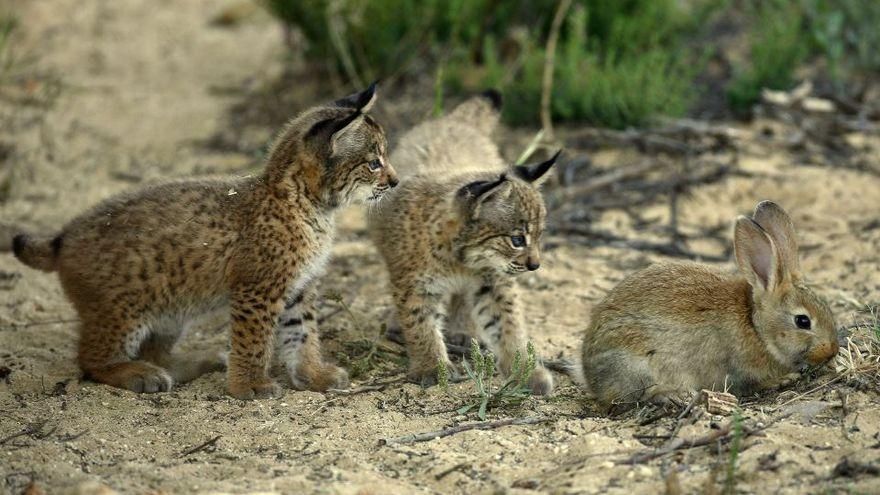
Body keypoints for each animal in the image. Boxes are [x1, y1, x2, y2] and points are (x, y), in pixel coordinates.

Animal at [581, 200, 839, 411]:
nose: (832, 350)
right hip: (638, 368)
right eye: (802, 321)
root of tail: (589, 374)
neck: (756, 326)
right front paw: (783, 379)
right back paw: (672, 395)